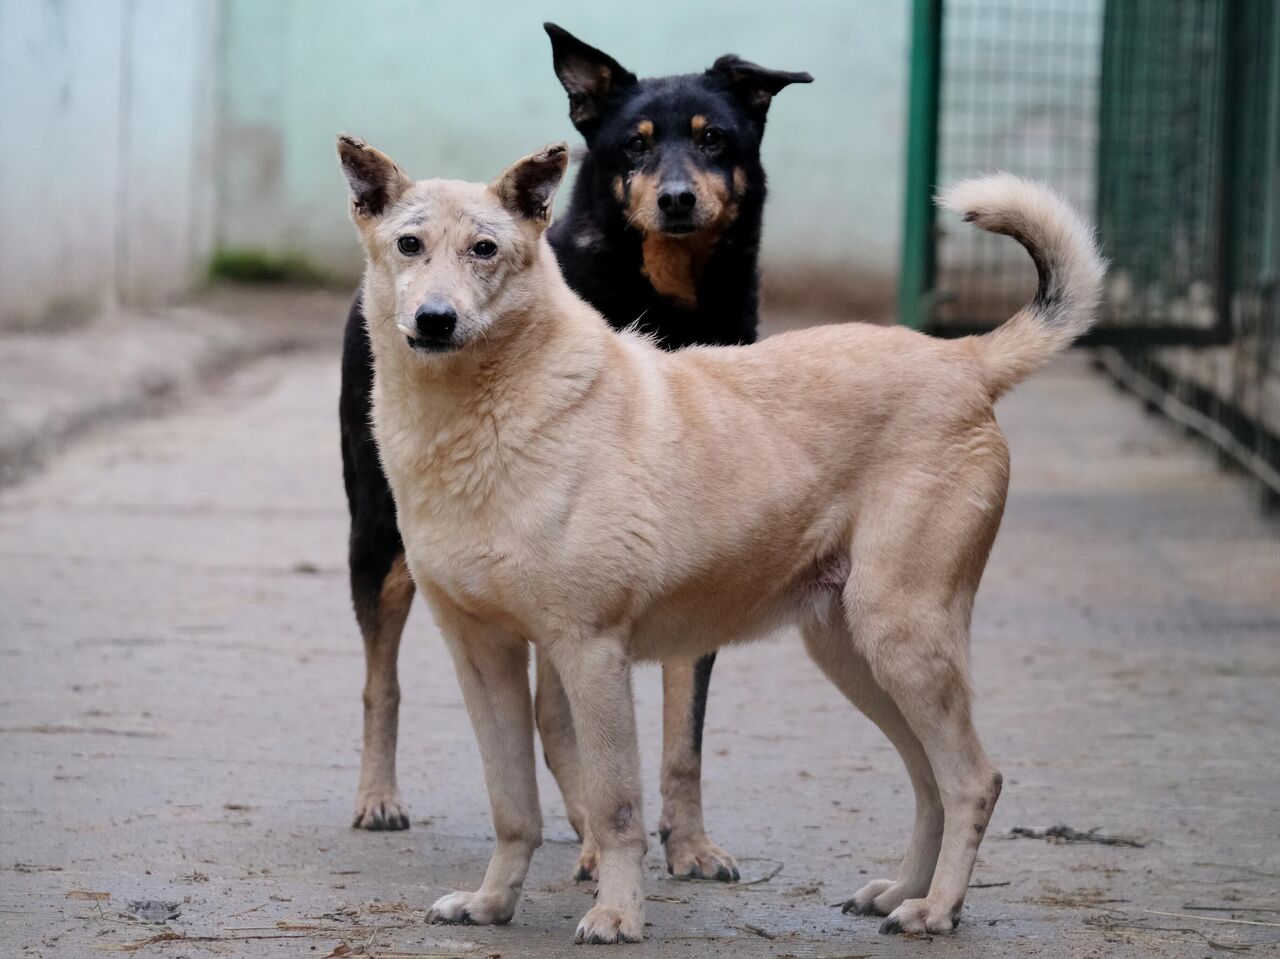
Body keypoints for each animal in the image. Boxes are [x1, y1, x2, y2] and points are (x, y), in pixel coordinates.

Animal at [335, 22, 803, 880]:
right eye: (634, 145)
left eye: (715, 138)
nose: (677, 198)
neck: (665, 302)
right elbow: (562, 721)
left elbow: (683, 732)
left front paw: (689, 842)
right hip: (377, 534)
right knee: (383, 679)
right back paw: (381, 796)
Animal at [335, 134, 1105, 942]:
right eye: (409, 244)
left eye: (484, 249)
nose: (435, 319)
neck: (484, 417)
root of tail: (963, 359)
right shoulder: (484, 655)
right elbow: (512, 805)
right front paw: (491, 904)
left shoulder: (591, 651)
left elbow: (616, 808)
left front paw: (617, 913)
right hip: (856, 654)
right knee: (930, 780)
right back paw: (900, 891)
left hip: (904, 638)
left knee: (972, 780)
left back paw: (935, 908)